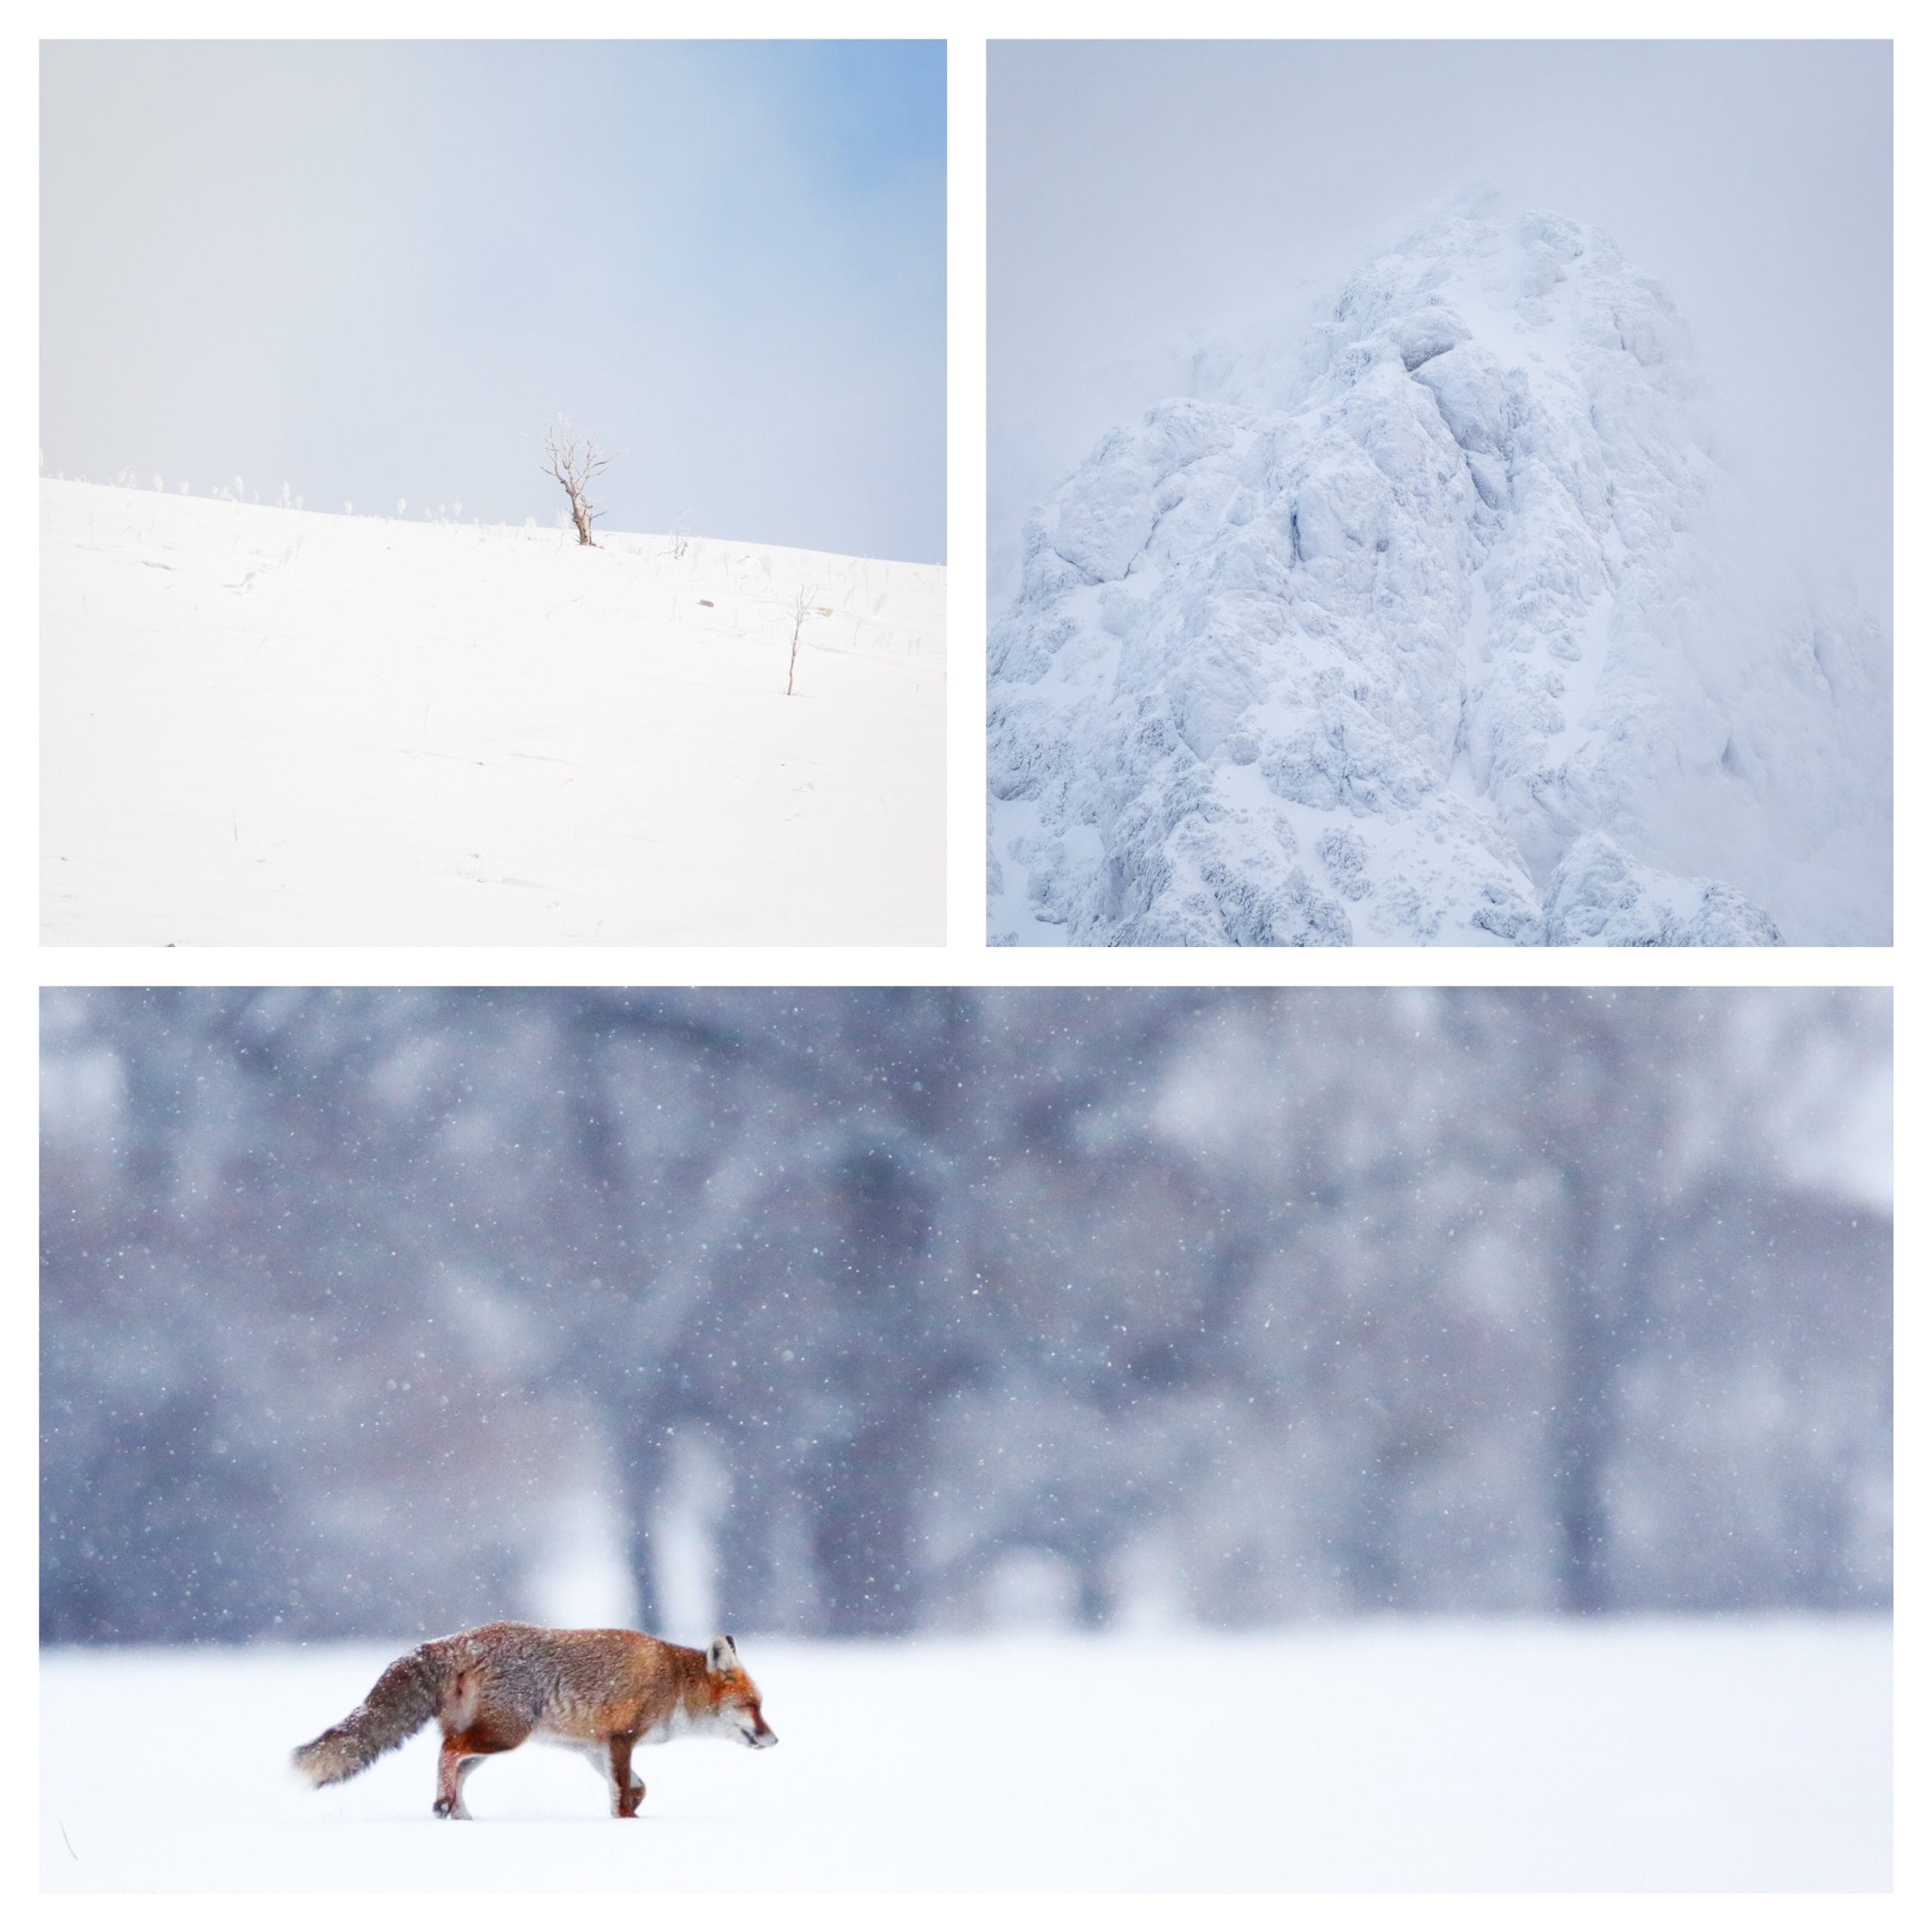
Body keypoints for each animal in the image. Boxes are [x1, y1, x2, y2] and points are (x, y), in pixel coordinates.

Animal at [290, 1623, 773, 1816]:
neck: (671, 1681)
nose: (774, 1740)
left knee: (454, 1768)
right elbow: (623, 1792)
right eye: (754, 1705)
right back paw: (446, 1807)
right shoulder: (622, 1737)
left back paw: (459, 1816)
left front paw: (630, 1811)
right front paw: (626, 1823)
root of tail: (460, 1639)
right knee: (447, 1753)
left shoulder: (596, 1748)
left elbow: (636, 1788)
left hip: (488, 1745)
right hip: (504, 1736)